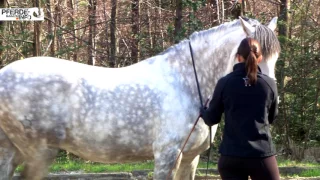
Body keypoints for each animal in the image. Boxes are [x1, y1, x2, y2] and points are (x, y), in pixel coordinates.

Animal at [0, 16, 280, 179]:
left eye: (276, 55)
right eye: (254, 56)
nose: (270, 99)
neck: (185, 82)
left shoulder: (191, 159)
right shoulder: (167, 156)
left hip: (13, 151)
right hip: (39, 152)